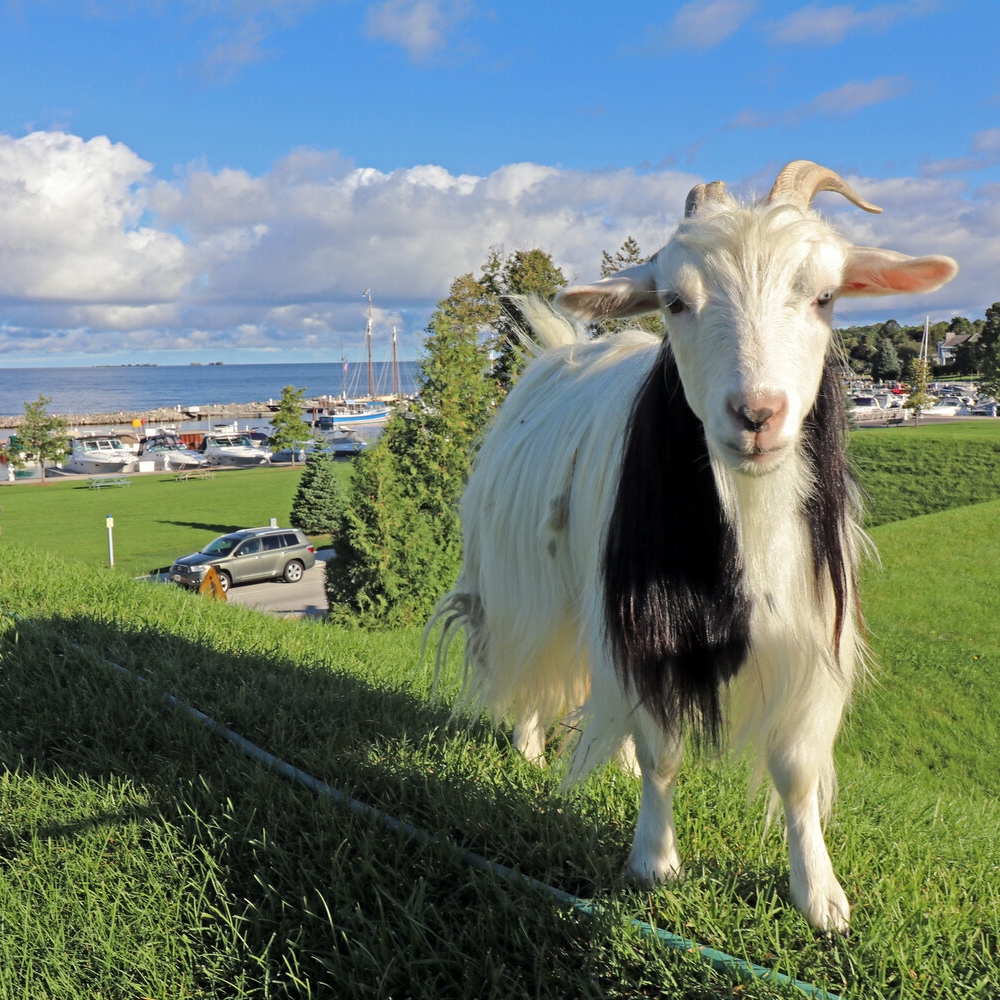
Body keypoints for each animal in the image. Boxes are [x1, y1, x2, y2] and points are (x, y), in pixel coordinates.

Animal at [429, 161, 958, 932]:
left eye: (825, 296)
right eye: (676, 301)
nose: (757, 415)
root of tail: (558, 351)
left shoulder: (808, 633)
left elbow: (797, 771)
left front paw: (820, 896)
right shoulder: (645, 617)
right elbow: (662, 751)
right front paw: (654, 862)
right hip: (526, 573)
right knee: (531, 654)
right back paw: (529, 746)